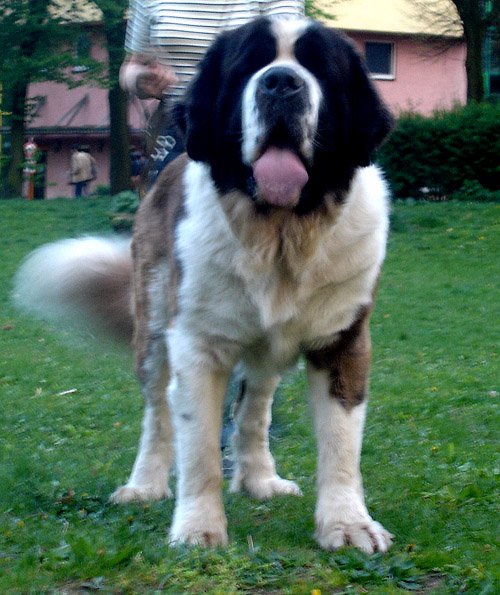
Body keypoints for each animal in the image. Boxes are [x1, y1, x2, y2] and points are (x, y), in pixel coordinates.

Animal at [14, 17, 394, 553]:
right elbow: (197, 450)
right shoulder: (196, 345)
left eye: (319, 67)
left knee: (254, 409)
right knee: (159, 415)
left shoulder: (342, 340)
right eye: (248, 67)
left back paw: (259, 480)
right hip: (154, 331)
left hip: (267, 350)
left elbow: (341, 446)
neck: (281, 233)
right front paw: (197, 528)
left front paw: (347, 524)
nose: (281, 82)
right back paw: (145, 485)